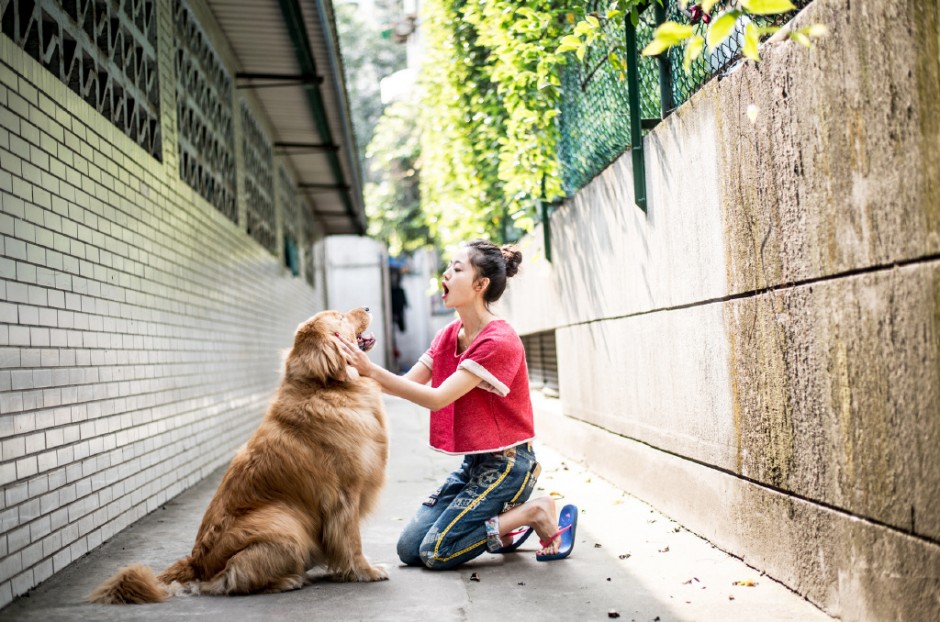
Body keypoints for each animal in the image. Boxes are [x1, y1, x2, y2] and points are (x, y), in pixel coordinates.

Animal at [84, 310, 386, 608]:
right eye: (340, 317)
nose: (368, 309)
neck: (325, 388)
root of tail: (197, 561)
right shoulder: (344, 496)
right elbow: (351, 541)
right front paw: (365, 571)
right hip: (285, 523)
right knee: (233, 579)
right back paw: (288, 580)